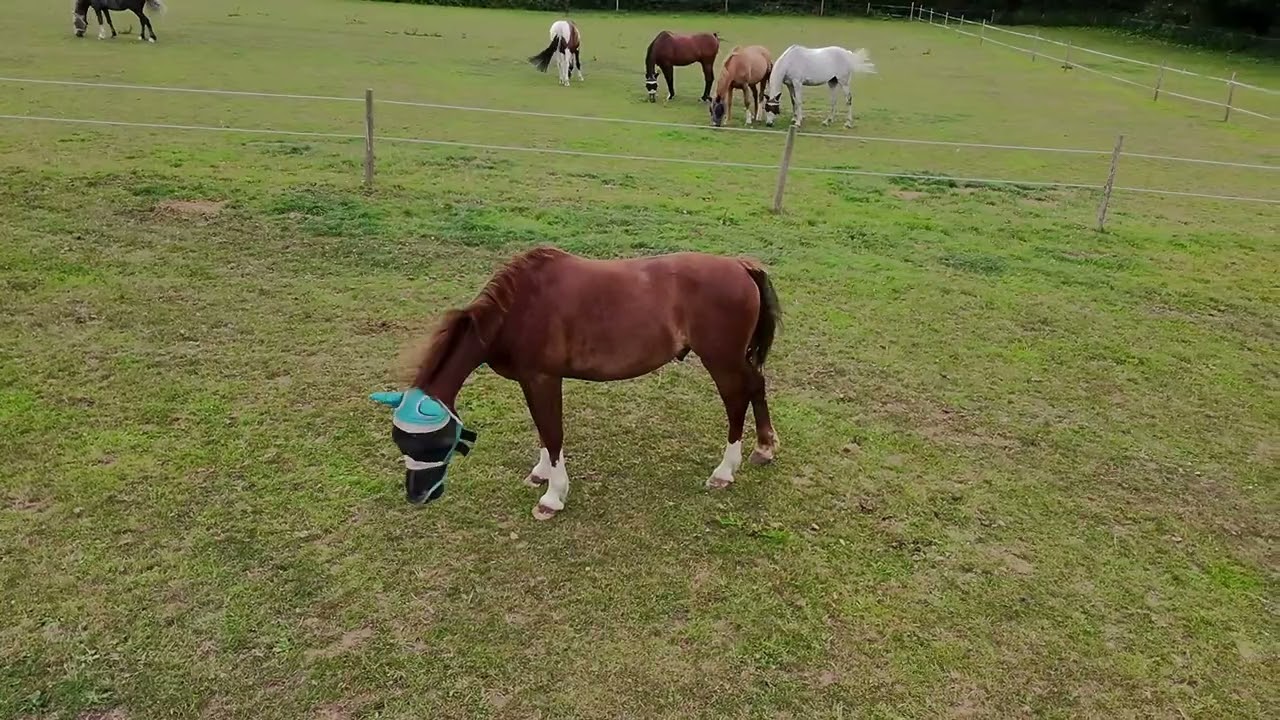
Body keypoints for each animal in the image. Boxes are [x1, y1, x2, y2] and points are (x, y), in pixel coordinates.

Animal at [369, 247, 781, 521]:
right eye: (400, 441)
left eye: (432, 442)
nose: (417, 495)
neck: (518, 307)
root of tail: (741, 266)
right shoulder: (531, 381)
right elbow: (542, 429)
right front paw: (541, 474)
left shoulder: (544, 379)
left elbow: (553, 434)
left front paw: (553, 496)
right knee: (757, 384)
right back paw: (765, 447)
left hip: (721, 360)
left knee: (736, 400)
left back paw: (725, 471)